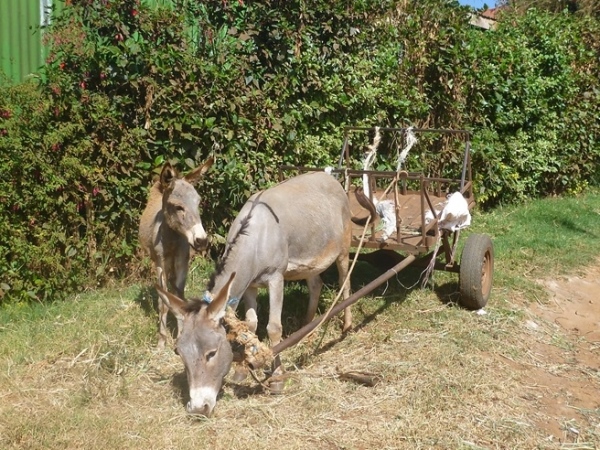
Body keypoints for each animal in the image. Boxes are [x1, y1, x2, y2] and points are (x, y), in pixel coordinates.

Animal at [139, 157, 214, 348]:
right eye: (178, 207)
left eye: (198, 202)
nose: (202, 241)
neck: (172, 238)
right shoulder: (160, 263)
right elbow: (163, 303)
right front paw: (161, 342)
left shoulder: (182, 261)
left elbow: (180, 298)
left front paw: (181, 336)